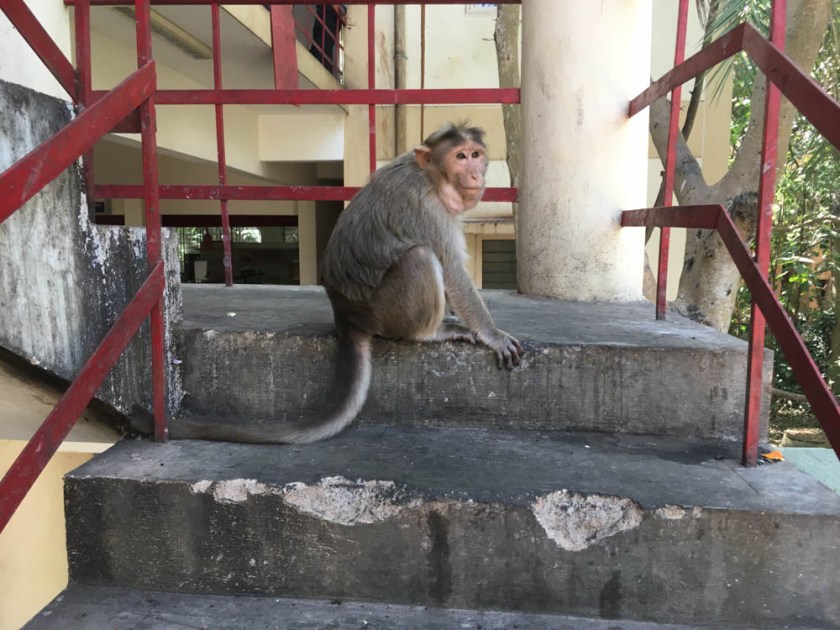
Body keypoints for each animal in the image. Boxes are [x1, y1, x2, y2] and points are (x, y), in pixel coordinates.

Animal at [170, 123, 521, 444]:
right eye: (459, 157)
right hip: (388, 311)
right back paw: (430, 332)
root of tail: (346, 315)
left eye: (475, 155)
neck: (432, 177)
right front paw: (493, 335)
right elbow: (452, 270)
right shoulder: (428, 208)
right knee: (421, 257)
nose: (475, 174)